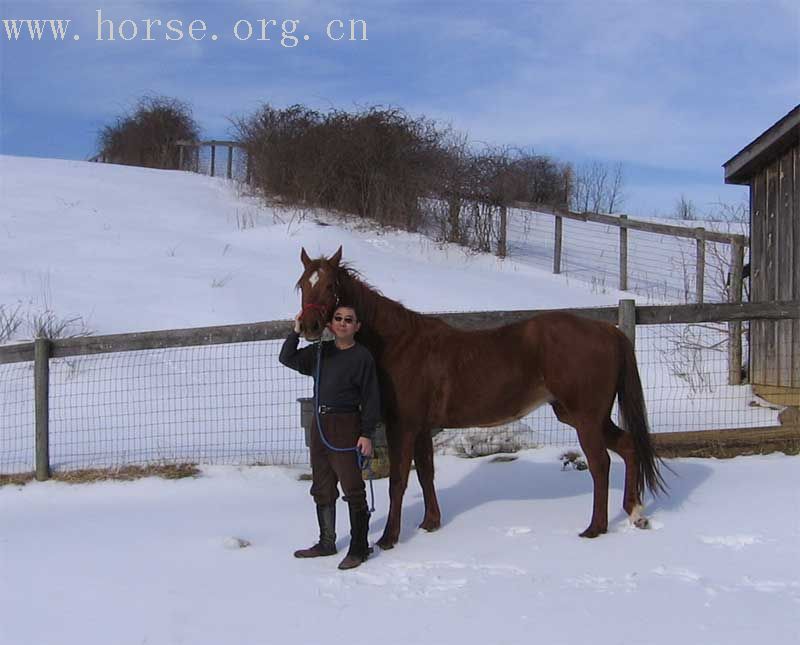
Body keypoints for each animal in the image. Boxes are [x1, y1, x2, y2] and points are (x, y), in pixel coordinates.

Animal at [296, 247, 664, 548]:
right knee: (629, 447)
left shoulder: (403, 426)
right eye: (302, 284)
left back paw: (595, 528)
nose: (307, 326)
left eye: (330, 286)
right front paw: (430, 523)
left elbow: (398, 481)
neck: (399, 344)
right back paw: (635, 514)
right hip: (586, 416)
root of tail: (608, 331)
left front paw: (389, 538)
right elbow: (426, 472)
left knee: (600, 464)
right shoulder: (422, 428)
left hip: (585, 417)